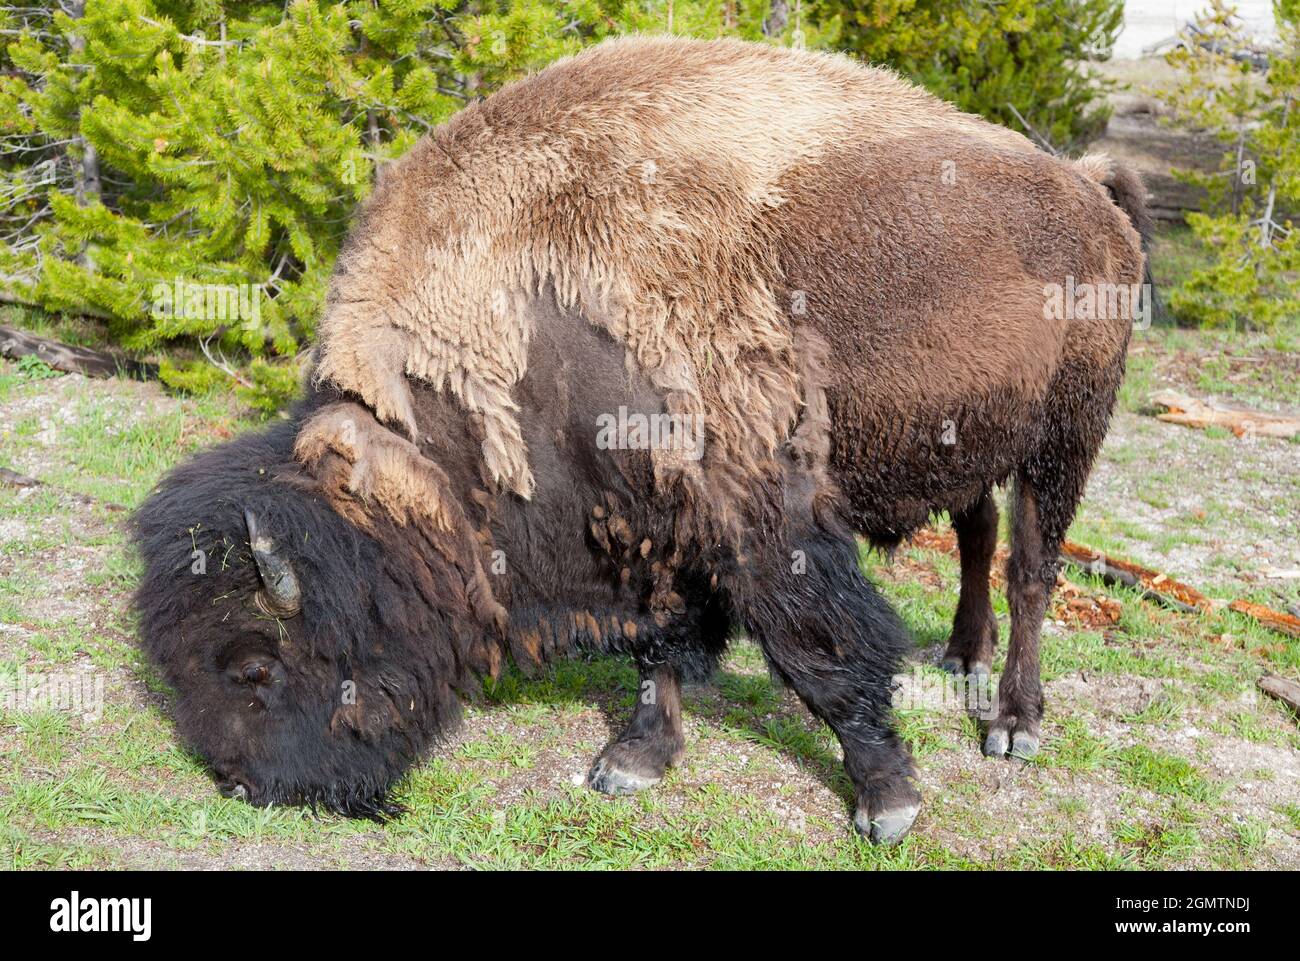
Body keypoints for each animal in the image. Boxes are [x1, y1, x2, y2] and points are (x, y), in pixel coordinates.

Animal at [131, 33, 1149, 847]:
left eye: (255, 666)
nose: (242, 784)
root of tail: (1087, 190)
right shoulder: (650, 518)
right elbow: (657, 644)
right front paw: (634, 759)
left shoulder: (762, 518)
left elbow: (823, 652)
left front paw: (887, 802)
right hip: (971, 437)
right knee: (978, 533)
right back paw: (962, 657)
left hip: (1068, 436)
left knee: (1032, 568)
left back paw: (1011, 719)